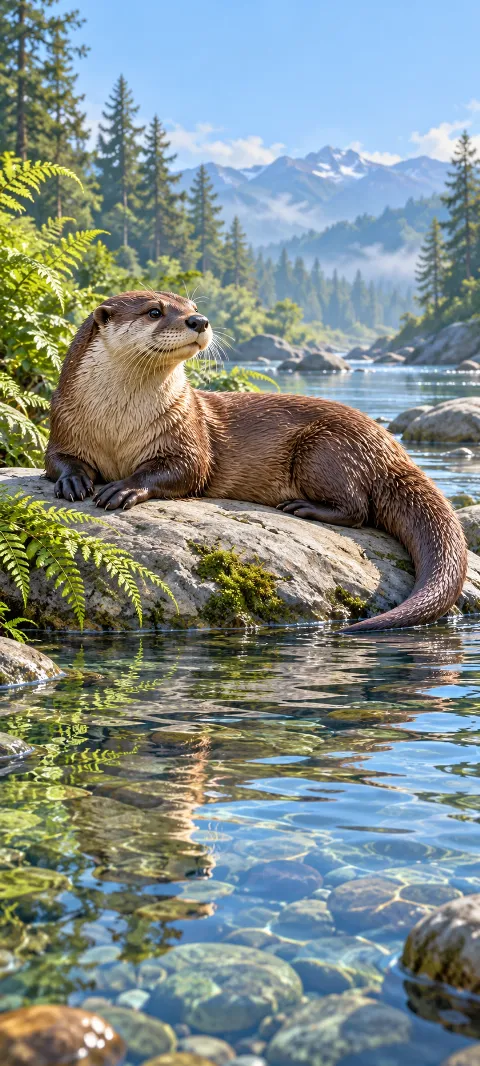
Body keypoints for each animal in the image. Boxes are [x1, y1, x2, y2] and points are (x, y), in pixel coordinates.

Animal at [45, 289, 467, 634]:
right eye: (154, 311)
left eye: (192, 307)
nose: (199, 320)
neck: (118, 428)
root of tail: (391, 449)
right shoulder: (63, 423)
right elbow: (55, 460)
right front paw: (73, 481)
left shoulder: (187, 434)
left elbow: (183, 469)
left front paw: (123, 488)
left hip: (327, 448)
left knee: (358, 508)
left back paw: (304, 508)